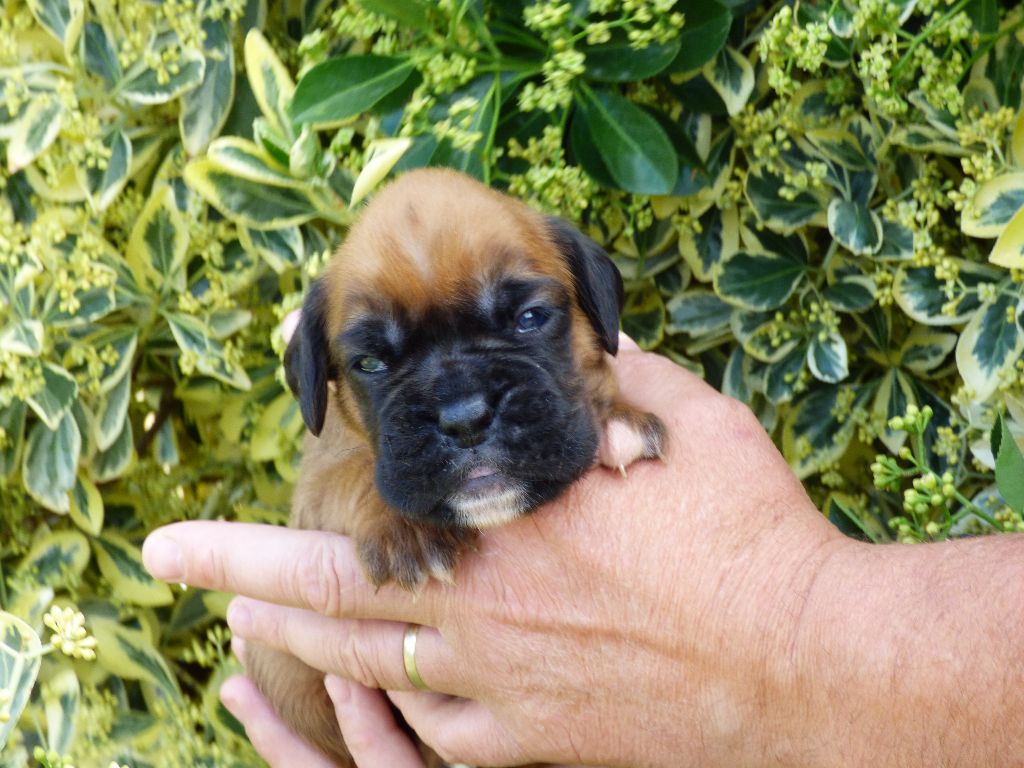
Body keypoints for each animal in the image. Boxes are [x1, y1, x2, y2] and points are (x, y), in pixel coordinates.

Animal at [246, 168, 667, 765]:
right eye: (370, 363)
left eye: (529, 319)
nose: (464, 417)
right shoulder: (316, 487)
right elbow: (352, 474)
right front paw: (409, 530)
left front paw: (618, 419)